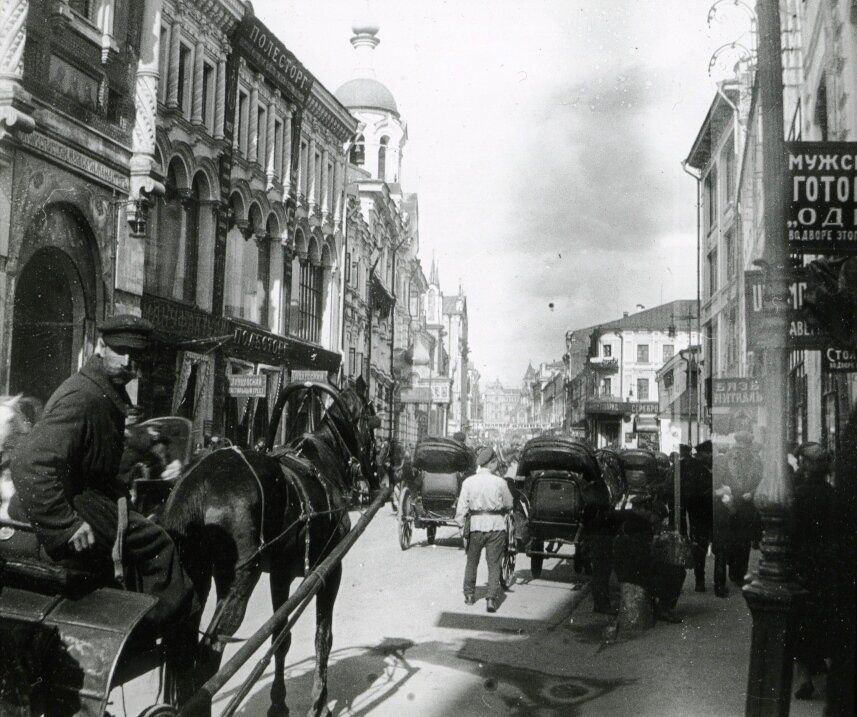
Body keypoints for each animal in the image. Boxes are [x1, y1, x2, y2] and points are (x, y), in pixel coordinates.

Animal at [160, 378, 378, 712]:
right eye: (372, 415)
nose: (379, 462)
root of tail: (198, 483)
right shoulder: (330, 570)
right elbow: (323, 636)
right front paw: (319, 702)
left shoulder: (280, 574)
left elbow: (280, 639)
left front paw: (278, 704)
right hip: (239, 579)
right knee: (208, 657)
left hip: (197, 578)